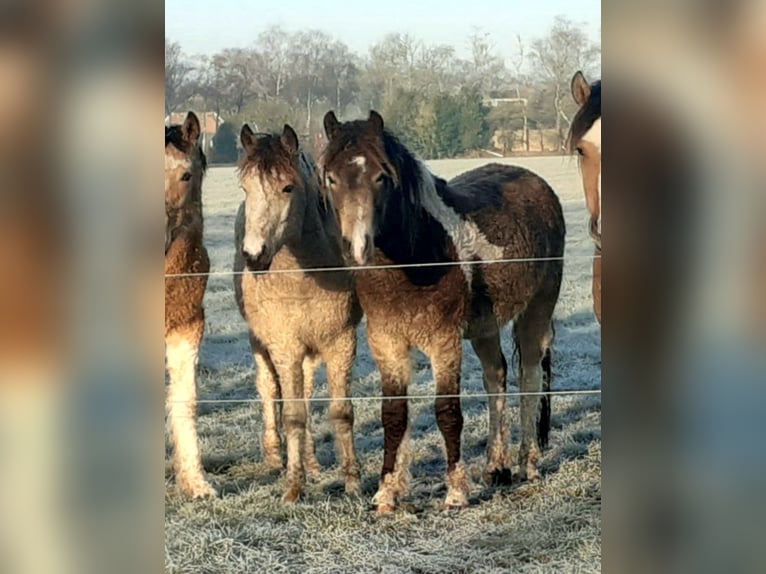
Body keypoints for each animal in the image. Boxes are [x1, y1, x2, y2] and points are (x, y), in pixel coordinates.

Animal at [233, 124, 363, 503]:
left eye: (288, 187)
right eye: (245, 187)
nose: (254, 255)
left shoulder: (341, 343)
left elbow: (341, 411)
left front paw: (352, 482)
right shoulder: (284, 346)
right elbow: (292, 415)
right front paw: (293, 486)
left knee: (304, 390)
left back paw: (312, 461)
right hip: (260, 345)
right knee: (268, 389)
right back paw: (275, 456)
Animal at [319, 110, 566, 512]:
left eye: (381, 177)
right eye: (331, 178)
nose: (357, 247)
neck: (417, 256)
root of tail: (537, 183)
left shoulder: (443, 341)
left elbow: (447, 411)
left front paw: (455, 491)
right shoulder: (387, 341)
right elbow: (394, 414)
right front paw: (387, 493)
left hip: (537, 310)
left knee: (529, 377)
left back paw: (527, 464)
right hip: (484, 327)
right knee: (496, 375)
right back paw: (496, 467)